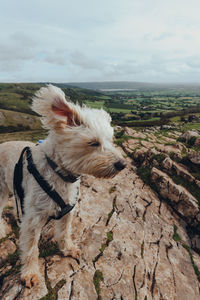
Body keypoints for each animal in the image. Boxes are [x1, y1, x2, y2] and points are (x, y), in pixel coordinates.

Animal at [0, 85, 126, 288]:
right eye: (93, 143)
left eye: (110, 140)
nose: (122, 164)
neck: (58, 171)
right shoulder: (33, 219)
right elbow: (31, 248)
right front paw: (30, 273)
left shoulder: (67, 211)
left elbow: (65, 233)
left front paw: (68, 249)